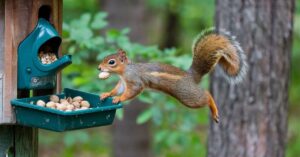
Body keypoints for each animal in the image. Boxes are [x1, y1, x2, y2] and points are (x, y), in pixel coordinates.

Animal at [97, 27, 247, 122]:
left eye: (111, 62)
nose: (99, 68)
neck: (124, 72)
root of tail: (192, 76)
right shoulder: (123, 83)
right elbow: (117, 90)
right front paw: (107, 94)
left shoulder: (134, 80)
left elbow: (131, 91)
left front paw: (119, 98)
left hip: (188, 96)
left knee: (206, 95)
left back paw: (214, 109)